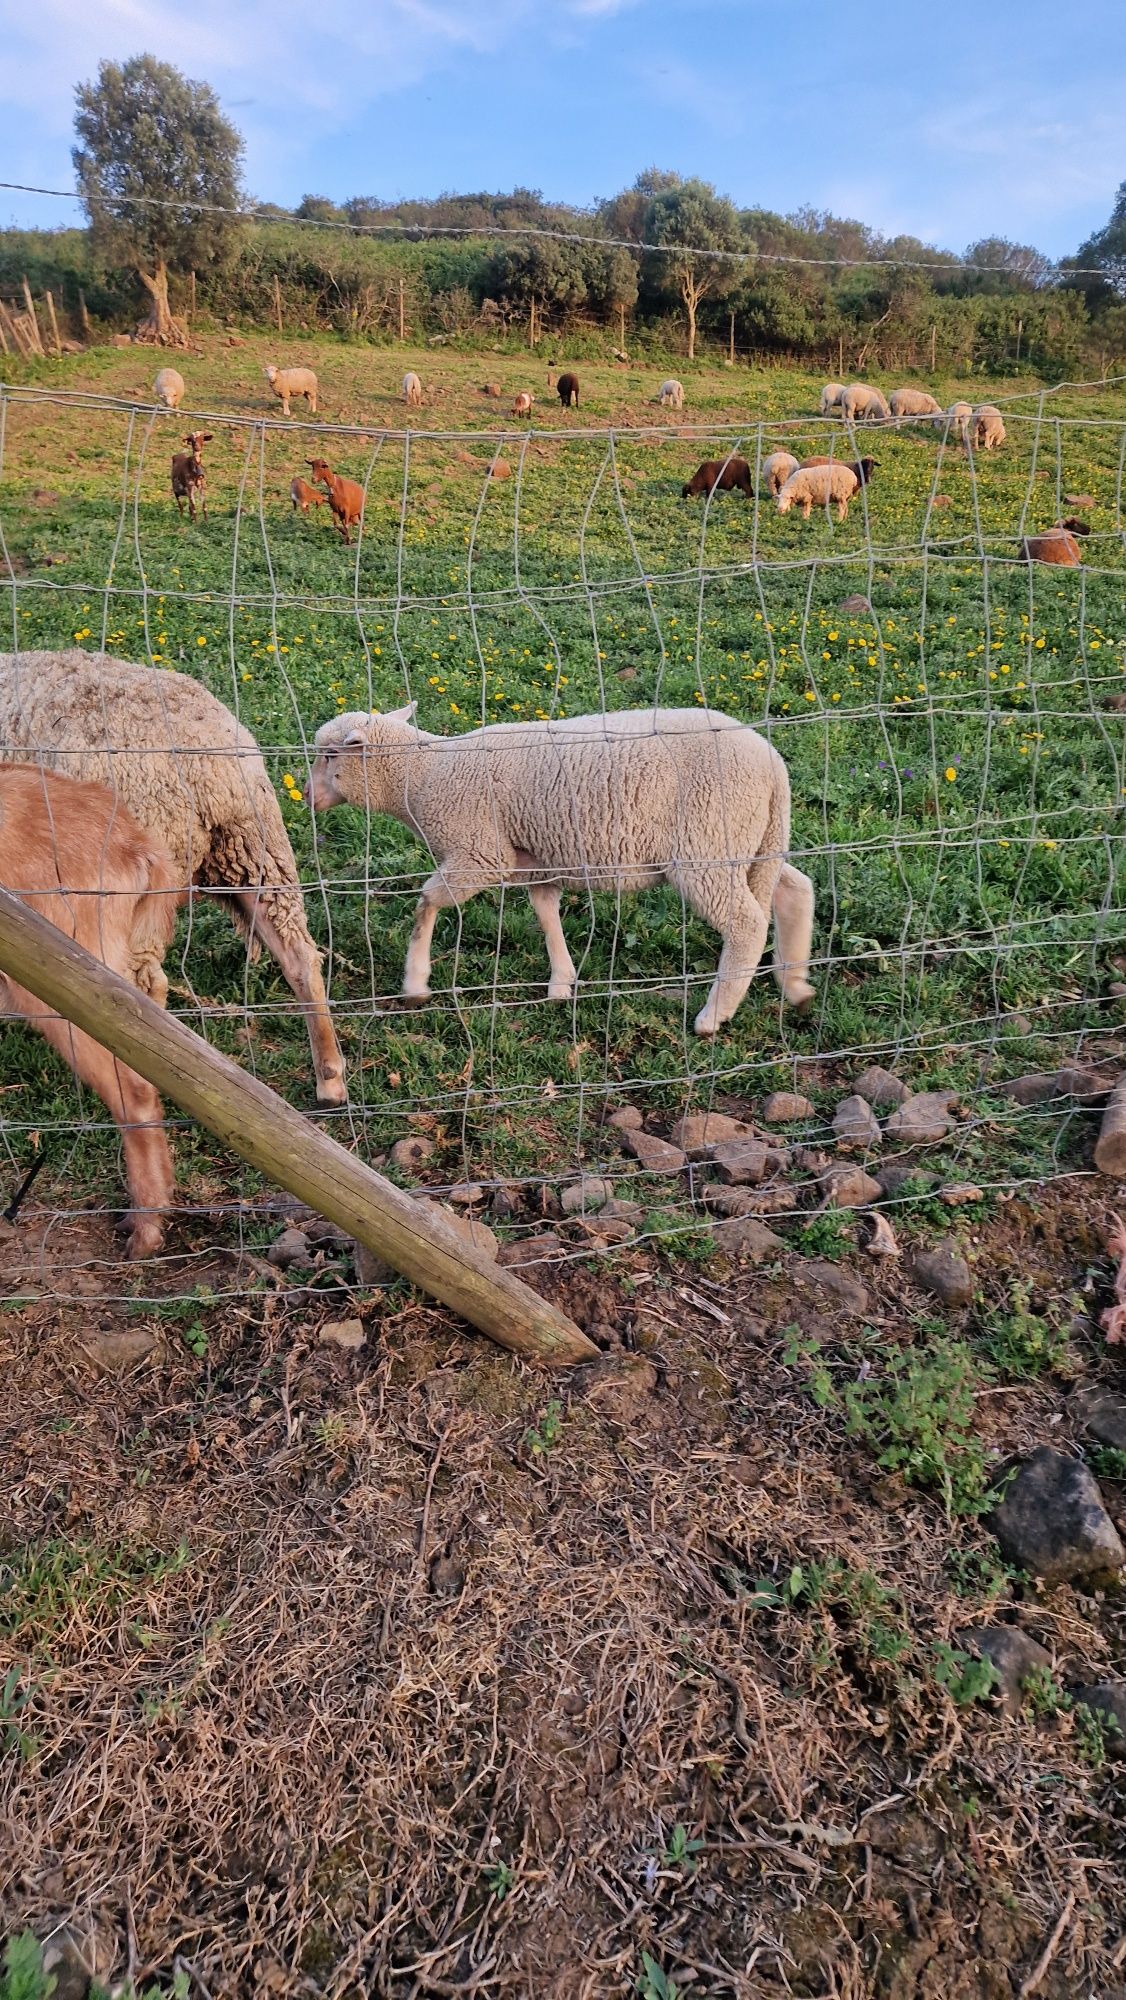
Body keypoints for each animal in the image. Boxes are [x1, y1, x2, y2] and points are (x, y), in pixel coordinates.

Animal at [0, 648, 348, 1112]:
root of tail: (204, 761)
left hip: (132, 888)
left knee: (140, 992)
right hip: (254, 850)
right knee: (301, 957)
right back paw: (330, 1079)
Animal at [312, 704, 816, 1040]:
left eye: (330, 756)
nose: (306, 797)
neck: (421, 773)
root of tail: (772, 762)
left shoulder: (481, 852)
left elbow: (427, 902)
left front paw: (415, 983)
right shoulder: (537, 859)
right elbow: (545, 912)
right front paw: (561, 982)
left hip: (707, 846)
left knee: (747, 922)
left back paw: (714, 1016)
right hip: (751, 842)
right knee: (795, 888)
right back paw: (795, 984)